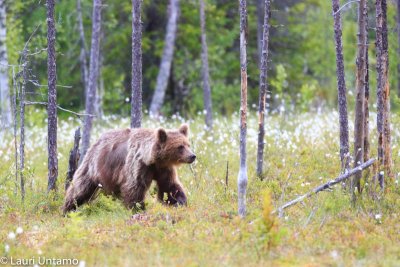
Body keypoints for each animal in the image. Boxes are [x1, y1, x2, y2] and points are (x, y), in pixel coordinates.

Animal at [61, 124, 196, 216]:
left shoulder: (163, 168)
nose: (192, 156)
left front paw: (180, 201)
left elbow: (169, 185)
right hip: (93, 166)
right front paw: (138, 208)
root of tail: (96, 141)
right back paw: (67, 209)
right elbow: (134, 187)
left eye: (188, 144)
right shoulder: (138, 164)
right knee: (80, 188)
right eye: (180, 147)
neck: (152, 159)